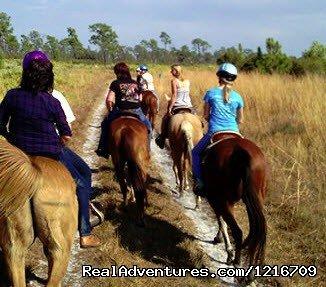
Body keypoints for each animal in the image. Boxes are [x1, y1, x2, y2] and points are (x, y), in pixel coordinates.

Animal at [202, 134, 268, 274]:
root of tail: (240, 151)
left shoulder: (216, 200)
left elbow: (221, 222)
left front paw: (224, 245)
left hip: (223, 200)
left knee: (238, 231)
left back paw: (236, 260)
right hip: (254, 201)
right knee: (255, 232)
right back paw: (250, 273)